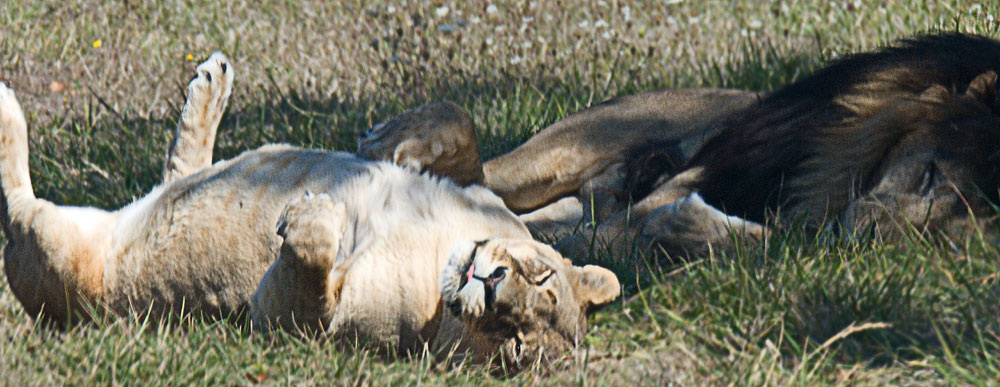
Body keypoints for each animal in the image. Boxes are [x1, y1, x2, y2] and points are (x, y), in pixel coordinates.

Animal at [1, 53, 616, 368]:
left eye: (513, 343)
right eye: (541, 276)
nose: (491, 286)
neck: (440, 246)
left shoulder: (296, 326)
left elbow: (308, 269)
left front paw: (316, 214)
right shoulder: (478, 194)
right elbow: (458, 120)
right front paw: (390, 144)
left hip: (63, 259)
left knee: (17, 206)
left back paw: (5, 102)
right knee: (180, 172)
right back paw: (212, 84)